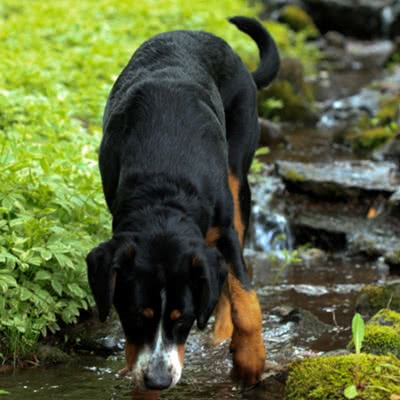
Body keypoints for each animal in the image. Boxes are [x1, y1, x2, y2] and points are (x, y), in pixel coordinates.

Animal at [86, 16, 280, 390]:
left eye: (183, 319)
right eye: (135, 316)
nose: (158, 380)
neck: (164, 186)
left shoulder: (223, 228)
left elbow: (245, 298)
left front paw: (250, 362)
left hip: (239, 178)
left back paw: (223, 337)